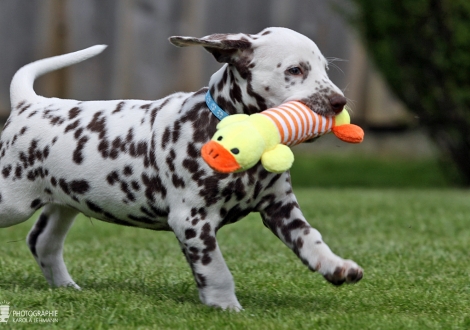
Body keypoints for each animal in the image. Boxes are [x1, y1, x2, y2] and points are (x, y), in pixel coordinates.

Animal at [0, 27, 364, 310]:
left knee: (42, 242)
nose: (340, 102)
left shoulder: (280, 207)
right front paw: (225, 306)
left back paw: (67, 288)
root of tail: (30, 104)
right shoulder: (192, 220)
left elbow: (310, 239)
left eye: (324, 69)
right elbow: (216, 268)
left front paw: (336, 266)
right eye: (295, 70)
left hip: (66, 202)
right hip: (13, 202)